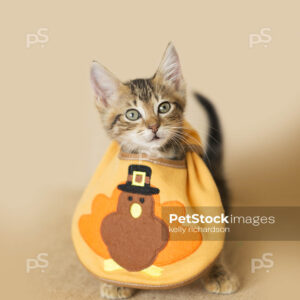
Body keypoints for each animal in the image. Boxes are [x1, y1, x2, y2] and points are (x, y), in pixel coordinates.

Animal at [89, 43, 239, 298]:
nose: (154, 126)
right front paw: (118, 281)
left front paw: (218, 273)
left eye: (164, 107)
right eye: (132, 114)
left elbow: (215, 241)